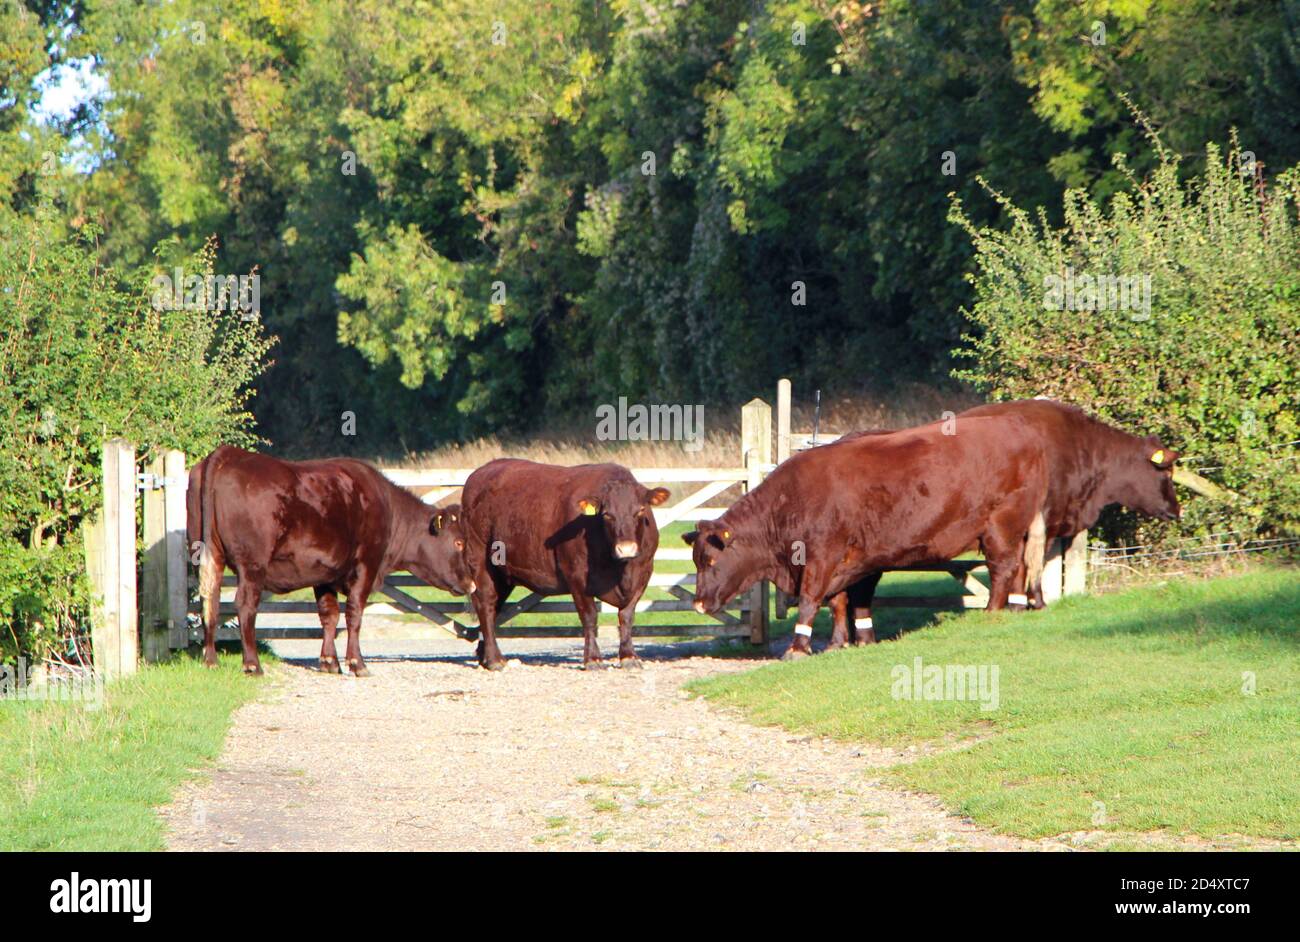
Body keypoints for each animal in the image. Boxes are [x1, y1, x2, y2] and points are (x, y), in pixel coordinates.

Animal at [188, 444, 478, 670]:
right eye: (459, 542)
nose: (472, 583)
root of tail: (228, 454)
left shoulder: (323, 573)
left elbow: (329, 615)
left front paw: (329, 661)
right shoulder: (366, 565)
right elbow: (354, 613)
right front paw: (356, 663)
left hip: (210, 555)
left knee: (209, 600)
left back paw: (211, 660)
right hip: (252, 564)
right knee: (245, 604)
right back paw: (252, 664)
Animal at [460, 457, 670, 670]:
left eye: (640, 510)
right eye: (607, 514)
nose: (626, 549)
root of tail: (483, 470)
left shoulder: (643, 573)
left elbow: (627, 615)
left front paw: (629, 656)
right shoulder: (577, 575)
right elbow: (589, 616)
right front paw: (593, 659)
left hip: (502, 575)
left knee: (494, 607)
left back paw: (485, 656)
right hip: (481, 560)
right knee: (486, 604)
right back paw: (495, 660)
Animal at [686, 410, 1050, 654]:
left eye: (711, 561)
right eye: (696, 561)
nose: (699, 604)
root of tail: (1018, 427)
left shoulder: (822, 557)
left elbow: (810, 600)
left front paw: (798, 647)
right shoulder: (854, 561)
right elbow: (843, 601)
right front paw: (845, 642)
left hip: (1001, 526)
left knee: (1003, 568)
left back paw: (992, 610)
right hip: (1016, 529)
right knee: (1020, 566)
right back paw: (1017, 607)